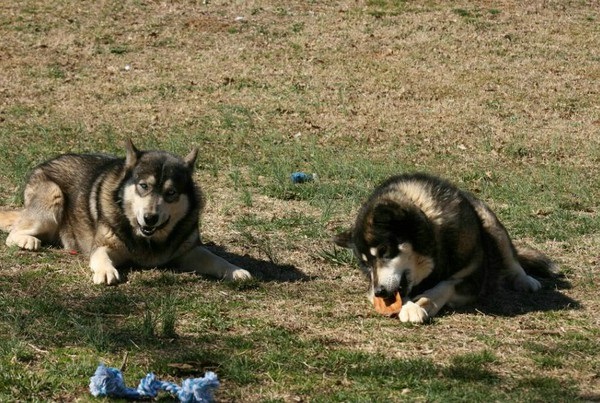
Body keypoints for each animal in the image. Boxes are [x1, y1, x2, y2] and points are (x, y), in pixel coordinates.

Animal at [0, 140, 251, 286]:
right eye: (144, 186)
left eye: (171, 193)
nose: (150, 218)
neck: (149, 240)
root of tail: (44, 164)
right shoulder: (103, 245)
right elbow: (100, 256)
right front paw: (105, 271)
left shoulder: (189, 251)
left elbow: (217, 258)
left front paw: (237, 271)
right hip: (53, 198)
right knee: (13, 234)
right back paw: (27, 241)